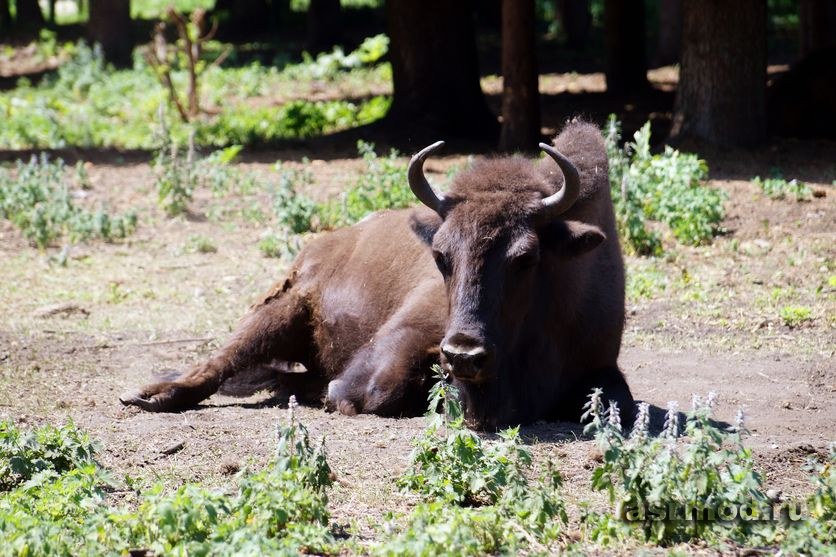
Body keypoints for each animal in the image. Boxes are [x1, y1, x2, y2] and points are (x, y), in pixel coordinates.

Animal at [119, 120, 632, 426]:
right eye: (441, 257)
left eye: (525, 258)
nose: (463, 354)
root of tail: (326, 242)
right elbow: (370, 392)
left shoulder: (600, 364)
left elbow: (618, 403)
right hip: (279, 309)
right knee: (217, 363)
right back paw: (150, 394)